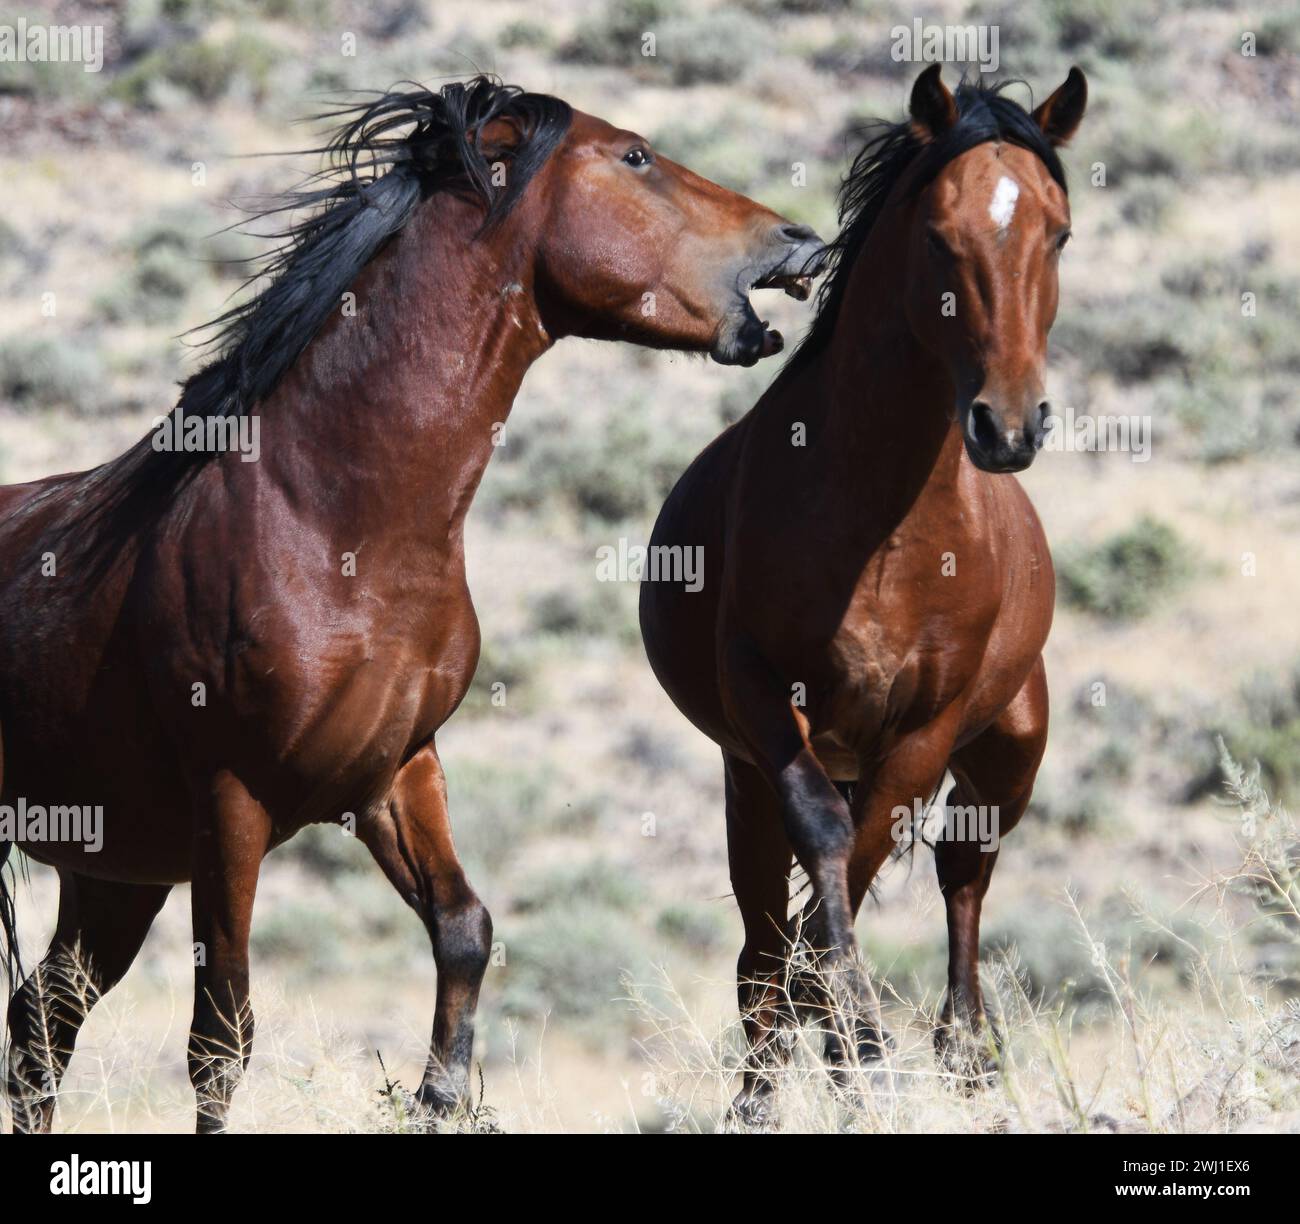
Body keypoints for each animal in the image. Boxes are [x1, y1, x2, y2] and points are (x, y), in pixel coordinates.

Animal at [0, 75, 826, 1134]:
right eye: (636, 156)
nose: (797, 241)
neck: (332, 523)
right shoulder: (231, 808)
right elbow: (221, 1035)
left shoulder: (398, 770)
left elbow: (464, 927)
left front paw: (438, 1092)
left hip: (113, 868)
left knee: (42, 1020)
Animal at [639, 65, 1087, 1124]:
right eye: (938, 234)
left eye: (1057, 233)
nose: (1009, 426)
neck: (882, 524)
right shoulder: (766, 699)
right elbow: (823, 846)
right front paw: (852, 1048)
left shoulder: (924, 729)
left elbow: (869, 853)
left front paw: (862, 1050)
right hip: (745, 773)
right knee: (764, 933)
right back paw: (765, 1091)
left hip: (1011, 750)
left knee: (962, 871)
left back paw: (963, 1052)